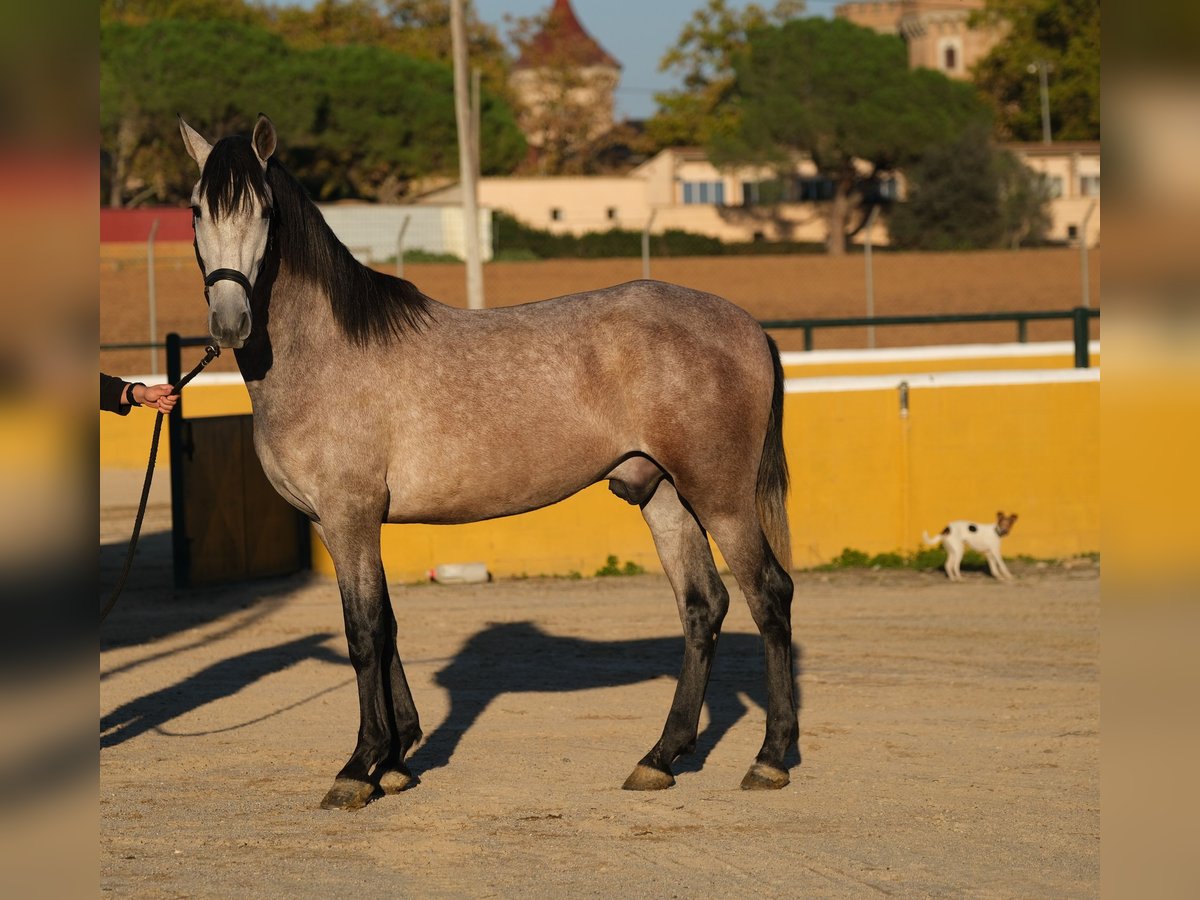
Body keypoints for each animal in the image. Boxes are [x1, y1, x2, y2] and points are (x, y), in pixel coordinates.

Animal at [177, 116, 796, 816]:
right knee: (702, 606)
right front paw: (397, 761)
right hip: (663, 493)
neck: (326, 352)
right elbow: (387, 625)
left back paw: (770, 758)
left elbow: (363, 631)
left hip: (720, 496)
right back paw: (660, 758)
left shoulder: (348, 516)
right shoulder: (344, 524)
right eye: (197, 208)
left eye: (262, 210)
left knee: (768, 595)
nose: (230, 322)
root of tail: (748, 326)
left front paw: (360, 766)